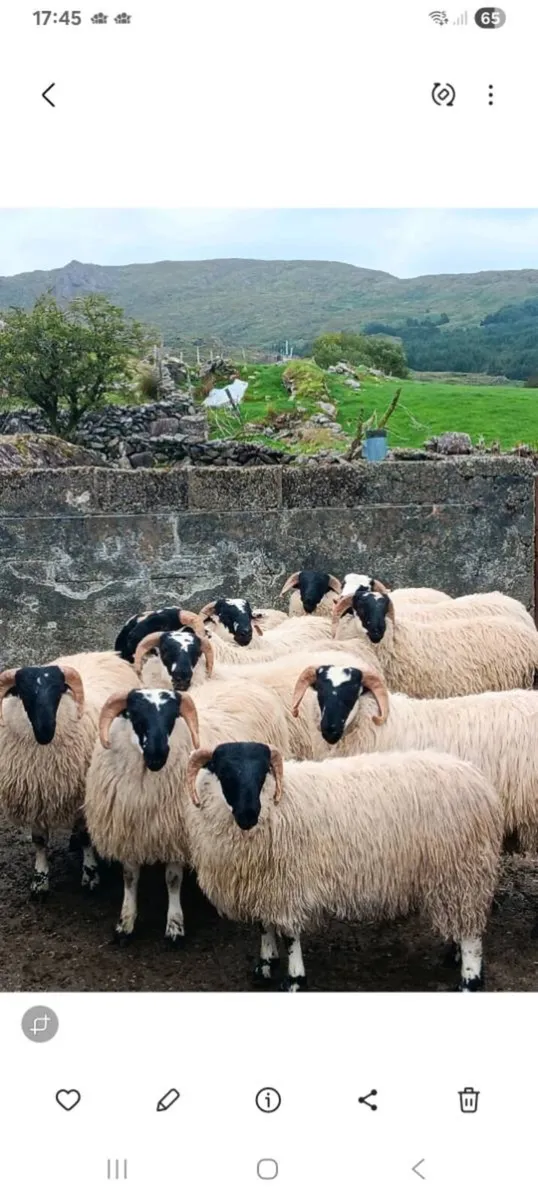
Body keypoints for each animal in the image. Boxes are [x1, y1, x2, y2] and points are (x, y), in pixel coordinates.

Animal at [0, 651, 139, 896]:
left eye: (58, 691)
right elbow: (39, 840)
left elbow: (85, 837)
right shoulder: (35, 797)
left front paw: (90, 874)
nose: (45, 730)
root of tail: (104, 653)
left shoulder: (81, 797)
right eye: (24, 694)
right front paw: (40, 880)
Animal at [84, 680, 290, 946]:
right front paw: (125, 923)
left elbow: (172, 880)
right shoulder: (130, 831)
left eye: (172, 718)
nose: (158, 754)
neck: (146, 781)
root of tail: (245, 682)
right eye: (135, 716)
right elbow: (130, 878)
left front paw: (174, 926)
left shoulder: (176, 835)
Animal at [186, 741, 503, 991]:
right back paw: (454, 954)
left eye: (263, 772)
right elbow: (264, 927)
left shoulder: (288, 885)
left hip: (462, 871)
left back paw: (469, 978)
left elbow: (290, 935)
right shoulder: (262, 887)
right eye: (224, 771)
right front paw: (265, 965)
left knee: (472, 933)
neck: (277, 803)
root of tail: (480, 782)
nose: (249, 815)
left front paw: (295, 979)